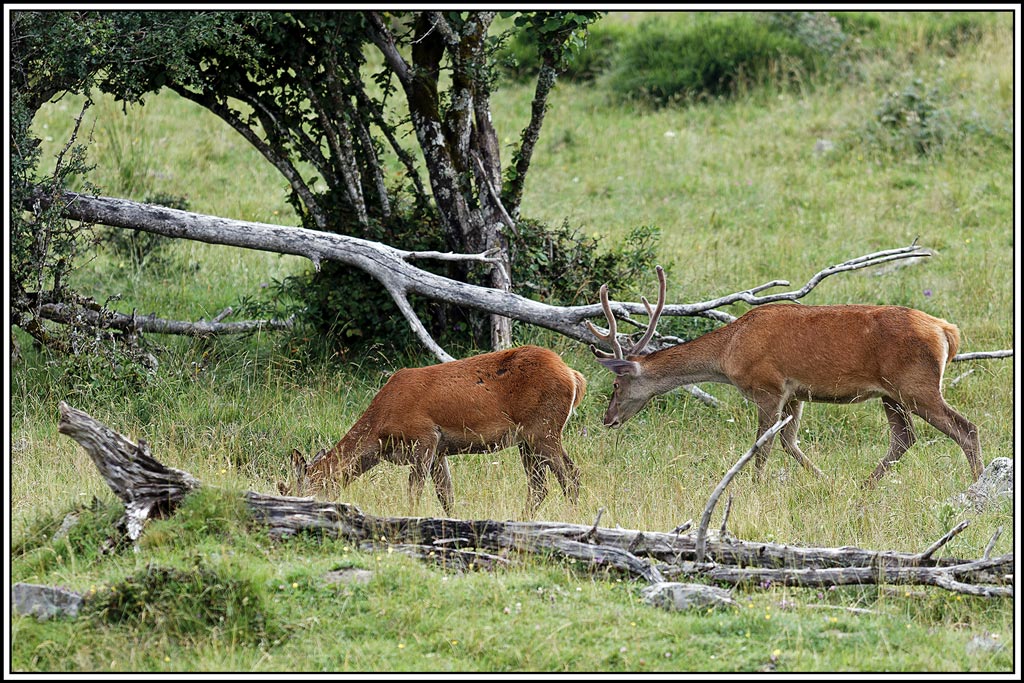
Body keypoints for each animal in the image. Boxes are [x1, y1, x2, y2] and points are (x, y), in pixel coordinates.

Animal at [278, 345, 587, 517]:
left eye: (296, 490)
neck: (379, 433)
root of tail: (574, 376)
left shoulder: (424, 437)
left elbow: (414, 491)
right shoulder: (440, 450)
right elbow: (446, 495)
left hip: (543, 428)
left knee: (569, 477)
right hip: (528, 438)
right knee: (540, 484)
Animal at [587, 266, 982, 487]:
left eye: (616, 384)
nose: (608, 419)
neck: (729, 352)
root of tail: (947, 331)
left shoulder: (768, 387)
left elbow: (763, 446)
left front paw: (755, 487)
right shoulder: (795, 394)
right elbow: (790, 443)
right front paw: (824, 481)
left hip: (916, 384)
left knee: (966, 428)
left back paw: (978, 487)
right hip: (891, 394)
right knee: (903, 439)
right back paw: (863, 486)